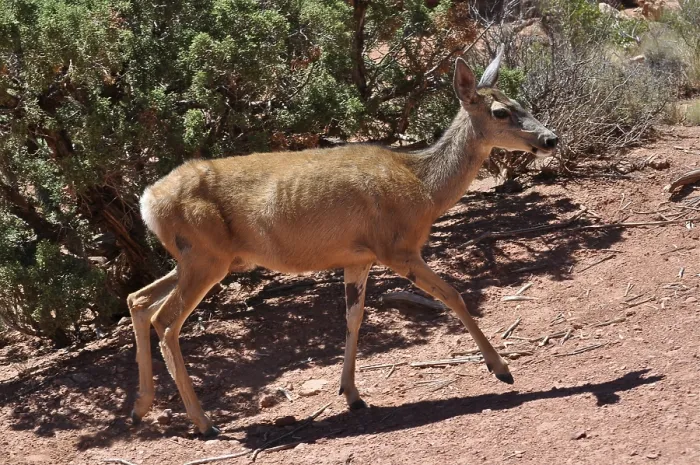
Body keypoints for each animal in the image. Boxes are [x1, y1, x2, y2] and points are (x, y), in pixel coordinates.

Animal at [126, 44, 558, 437]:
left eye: (521, 102)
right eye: (501, 112)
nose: (550, 139)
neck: (423, 188)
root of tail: (148, 201)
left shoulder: (358, 257)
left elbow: (354, 317)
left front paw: (352, 393)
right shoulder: (396, 247)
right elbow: (453, 294)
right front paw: (502, 369)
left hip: (203, 258)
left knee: (139, 300)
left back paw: (141, 407)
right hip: (206, 257)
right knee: (166, 321)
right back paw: (204, 423)